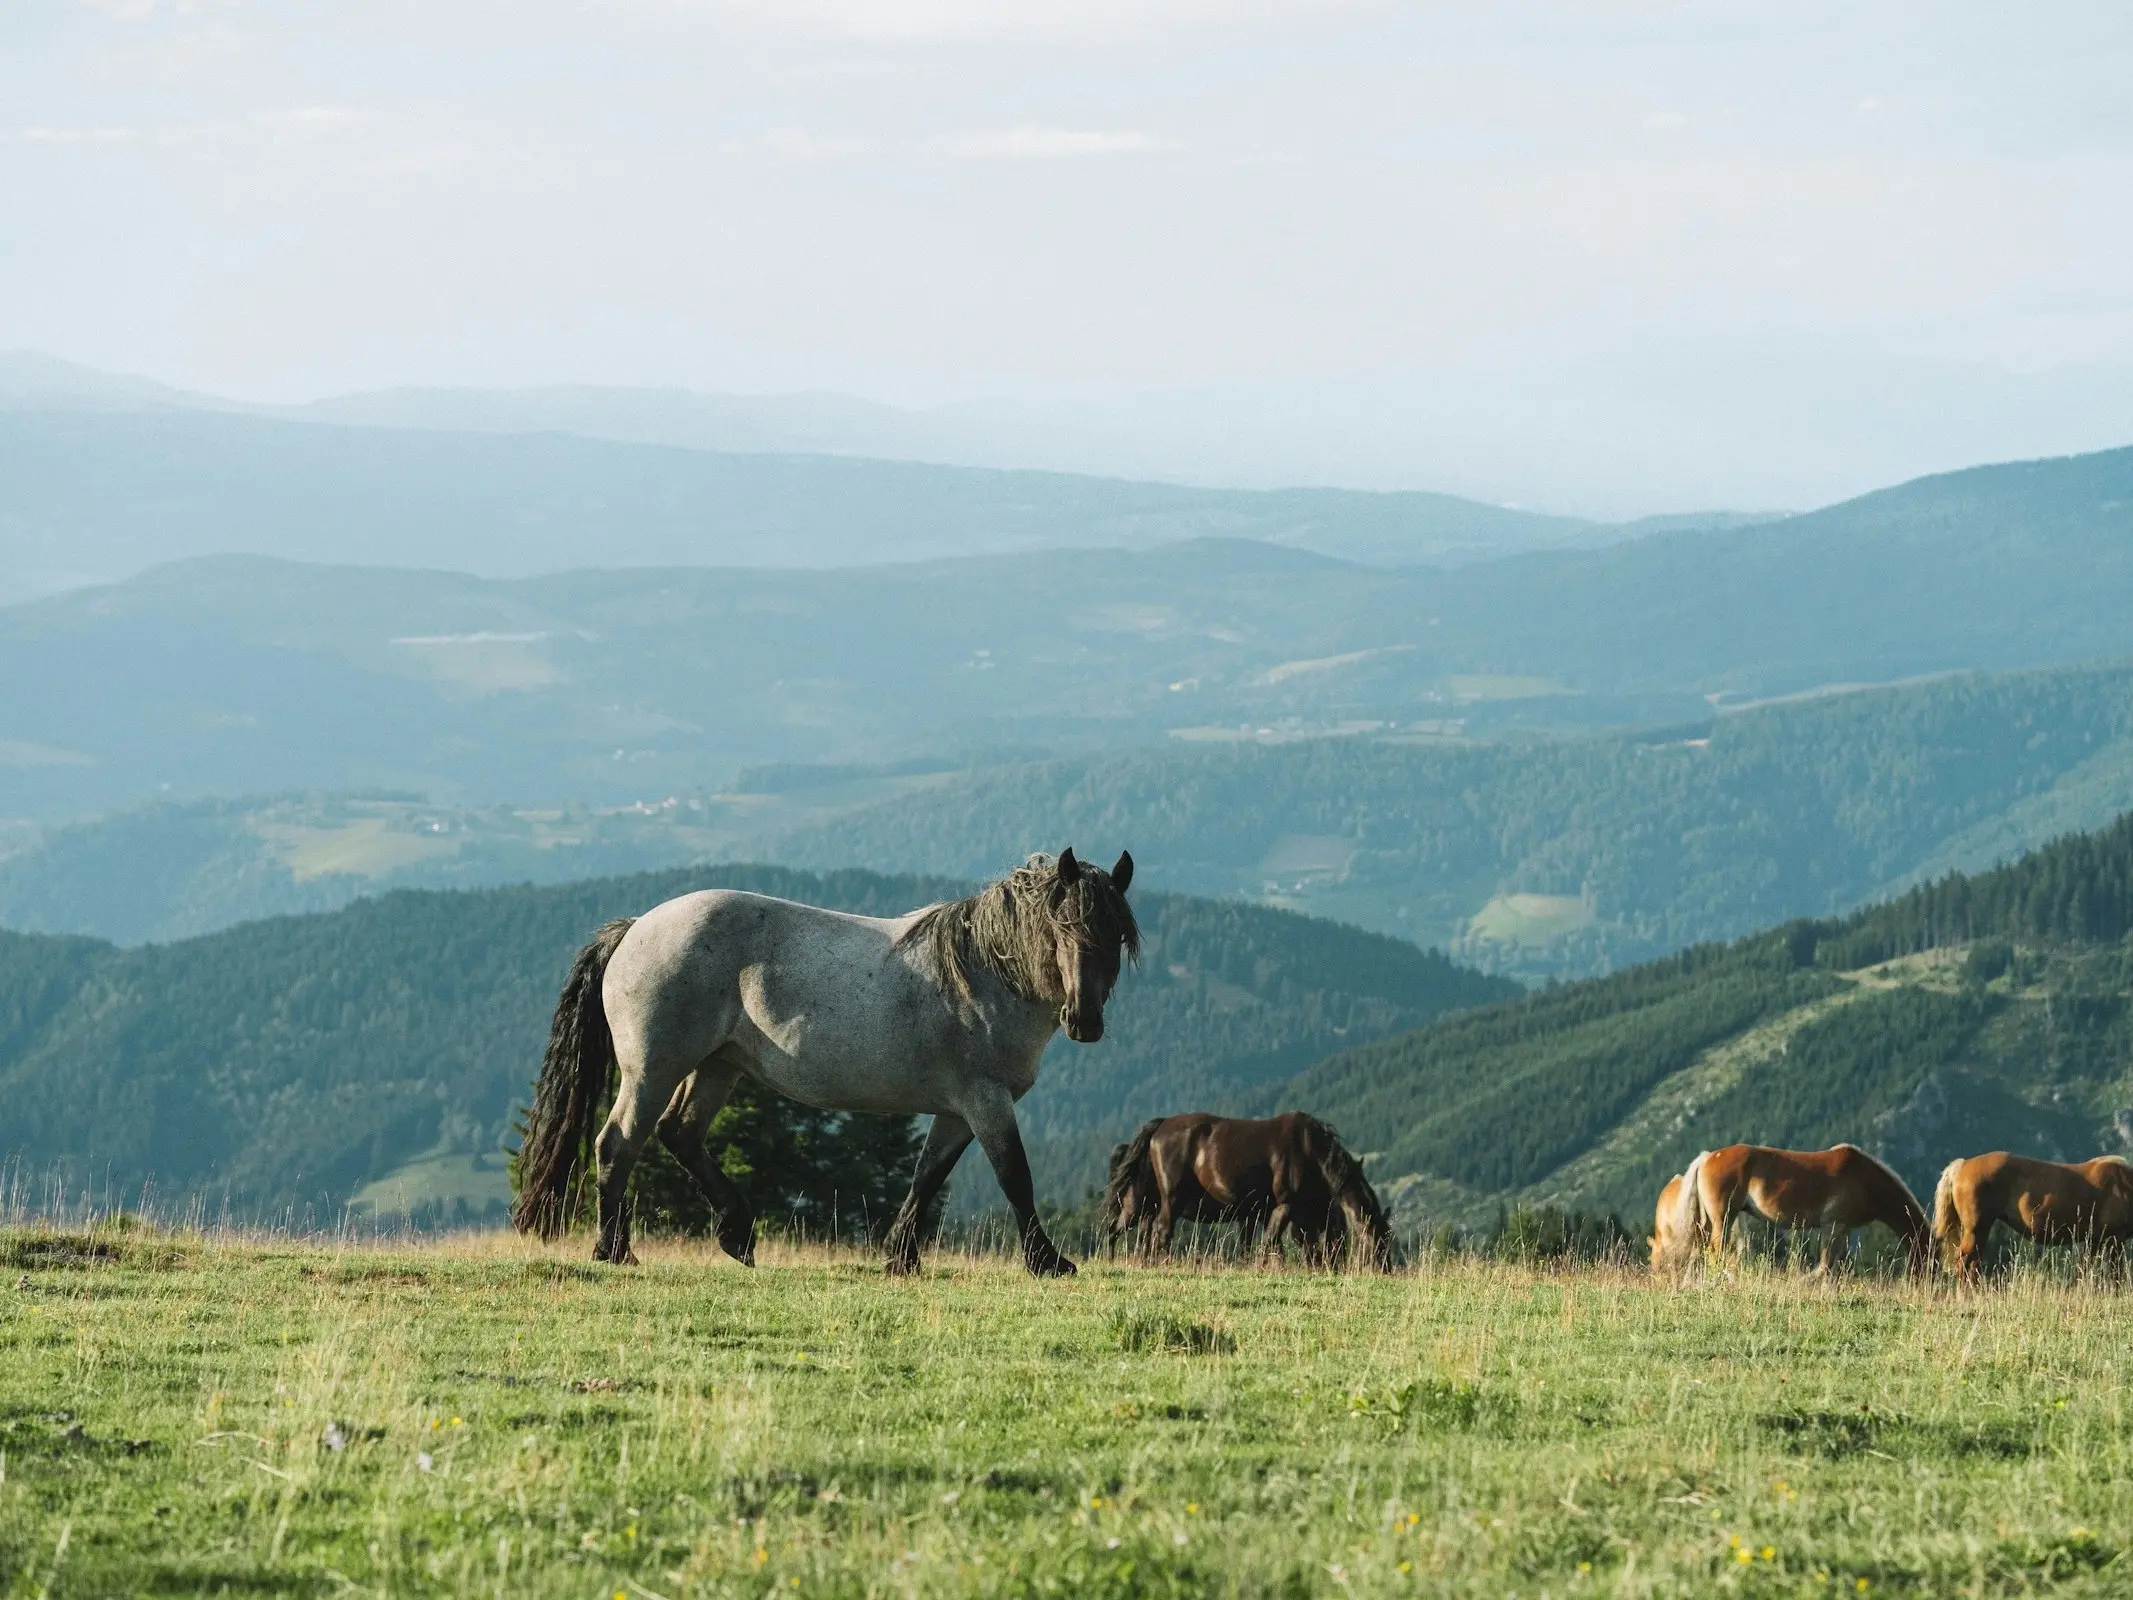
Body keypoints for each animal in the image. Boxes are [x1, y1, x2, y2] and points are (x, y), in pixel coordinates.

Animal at [1100, 1117, 1399, 1271]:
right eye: (1378, 1241)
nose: (1386, 1270)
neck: (1311, 1151)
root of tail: (1160, 1127)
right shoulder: (1286, 1206)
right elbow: (1273, 1243)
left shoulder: (1289, 1213)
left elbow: (1299, 1245)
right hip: (1169, 1200)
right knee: (1159, 1232)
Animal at [1680, 1143, 1936, 1280]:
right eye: (1932, 1259)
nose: (1930, 1288)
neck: (1865, 1179)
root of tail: (1708, 1157)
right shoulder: (1833, 1226)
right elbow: (1825, 1265)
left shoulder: (1843, 1229)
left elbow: (1835, 1266)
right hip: (1722, 1218)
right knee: (1716, 1252)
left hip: (1711, 1220)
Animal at [1936, 1143, 2133, 1288]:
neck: (2124, 1184)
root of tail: (1962, 1164)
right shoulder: (2115, 1238)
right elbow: (2116, 1273)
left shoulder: (2095, 1239)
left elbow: (2084, 1269)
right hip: (1976, 1229)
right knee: (1964, 1263)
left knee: (1972, 1264)